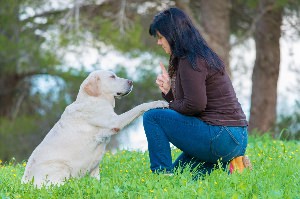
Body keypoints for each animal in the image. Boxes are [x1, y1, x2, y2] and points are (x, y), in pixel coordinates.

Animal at [21, 69, 169, 187]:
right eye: (112, 77)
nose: (131, 82)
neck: (95, 98)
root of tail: (25, 181)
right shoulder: (115, 121)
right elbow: (139, 107)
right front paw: (157, 102)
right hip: (61, 167)